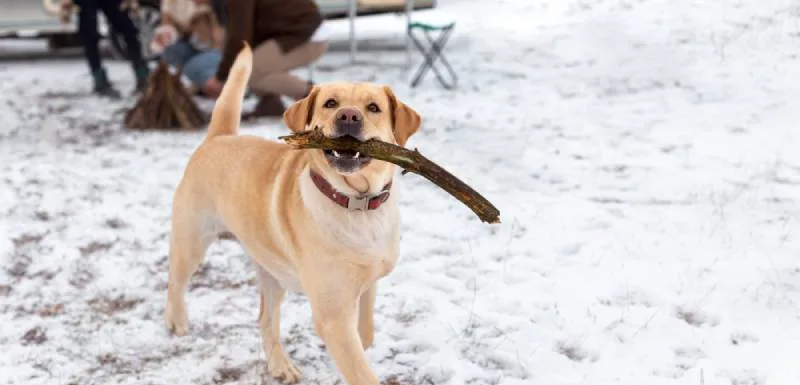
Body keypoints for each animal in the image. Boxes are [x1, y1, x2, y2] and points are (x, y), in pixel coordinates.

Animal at [165, 42, 422, 384]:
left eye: (373, 107)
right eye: (330, 103)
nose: (348, 116)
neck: (357, 204)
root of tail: (219, 137)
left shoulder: (367, 284)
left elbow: (365, 332)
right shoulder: (332, 315)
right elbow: (361, 371)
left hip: (272, 271)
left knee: (265, 319)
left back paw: (279, 365)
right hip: (192, 241)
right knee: (175, 281)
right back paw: (176, 320)